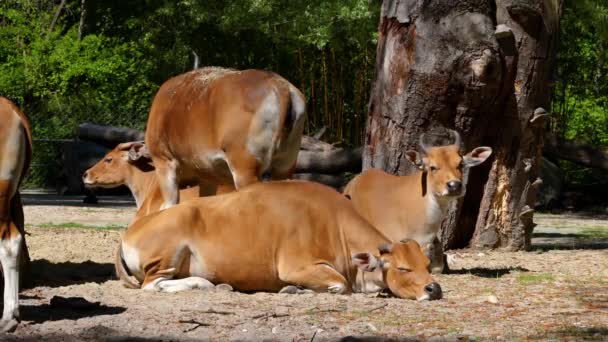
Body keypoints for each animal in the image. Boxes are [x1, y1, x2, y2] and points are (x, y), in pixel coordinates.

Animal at [117, 180, 442, 300]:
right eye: (402, 268)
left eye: (427, 265)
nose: (435, 288)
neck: (334, 224)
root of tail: (129, 232)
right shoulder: (297, 267)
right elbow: (340, 285)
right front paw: (293, 290)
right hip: (167, 254)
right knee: (152, 284)